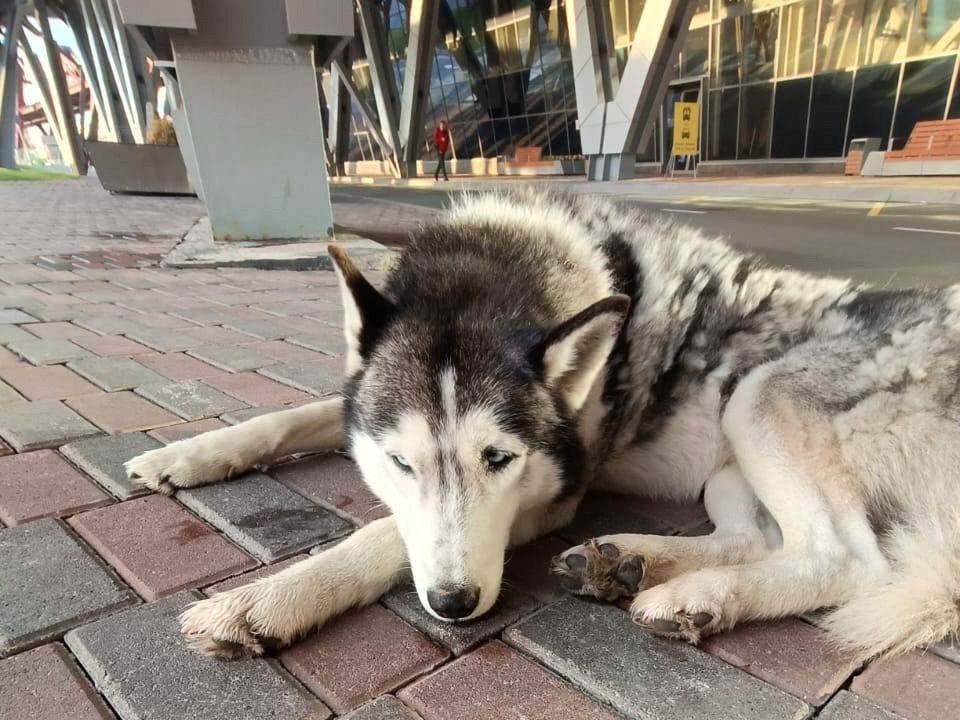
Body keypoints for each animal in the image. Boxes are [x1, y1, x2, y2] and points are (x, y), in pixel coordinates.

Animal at [125, 190, 960, 660]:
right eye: (400, 464)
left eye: (500, 460)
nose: (454, 605)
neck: (499, 266)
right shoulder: (357, 409)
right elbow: (290, 416)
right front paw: (187, 453)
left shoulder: (553, 495)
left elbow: (382, 536)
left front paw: (264, 601)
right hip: (730, 461)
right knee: (757, 537)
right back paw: (633, 563)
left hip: (757, 398)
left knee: (846, 558)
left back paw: (692, 593)